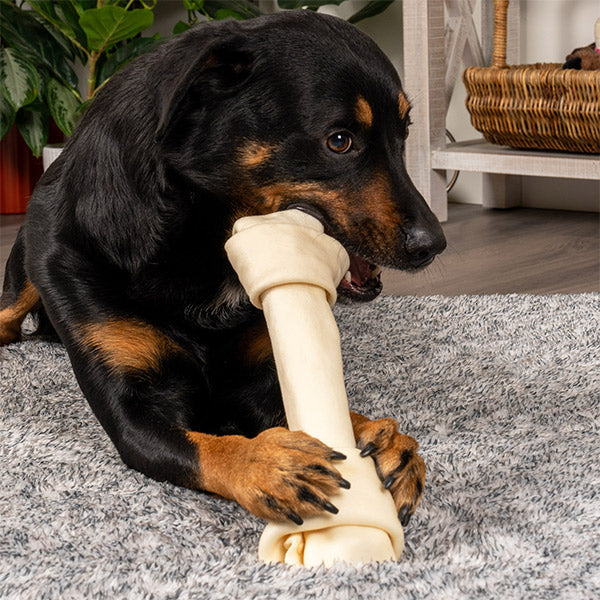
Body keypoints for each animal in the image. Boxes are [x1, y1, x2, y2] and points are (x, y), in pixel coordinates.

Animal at [0, 11, 446, 528]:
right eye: (339, 141)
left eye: (405, 134)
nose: (434, 245)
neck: (201, 248)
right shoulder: (133, 411)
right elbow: (207, 445)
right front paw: (266, 462)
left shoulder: (263, 377)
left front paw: (378, 434)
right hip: (26, 273)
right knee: (10, 314)